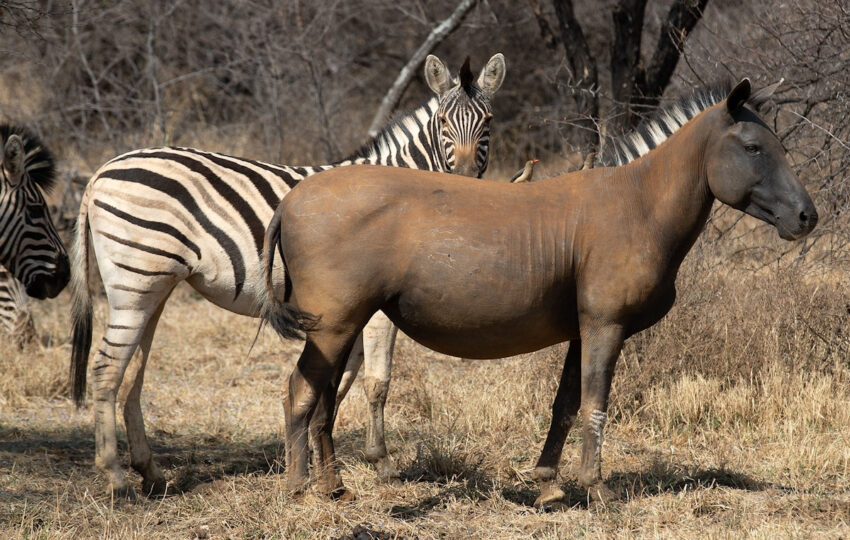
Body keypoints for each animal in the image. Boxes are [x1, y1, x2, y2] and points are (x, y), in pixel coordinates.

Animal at [71, 53, 504, 498]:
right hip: (135, 279)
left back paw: (150, 473)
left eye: (488, 121)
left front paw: (313, 461)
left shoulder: (349, 310)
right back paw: (114, 475)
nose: (465, 184)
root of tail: (101, 171)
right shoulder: (376, 311)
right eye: (443, 123)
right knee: (106, 368)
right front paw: (378, 463)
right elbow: (376, 382)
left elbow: (338, 384)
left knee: (131, 374)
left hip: (154, 286)